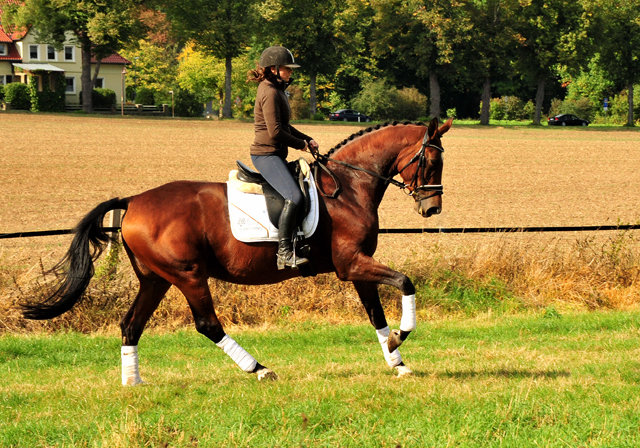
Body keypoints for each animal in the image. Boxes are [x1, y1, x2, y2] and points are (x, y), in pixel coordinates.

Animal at [22, 117, 452, 384]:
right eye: (432, 160)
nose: (432, 209)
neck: (348, 187)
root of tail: (134, 201)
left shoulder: (358, 267)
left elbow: (376, 313)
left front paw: (396, 359)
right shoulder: (353, 265)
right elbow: (405, 282)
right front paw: (400, 338)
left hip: (156, 280)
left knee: (131, 325)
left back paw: (133, 382)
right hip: (188, 276)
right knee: (207, 324)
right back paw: (259, 369)